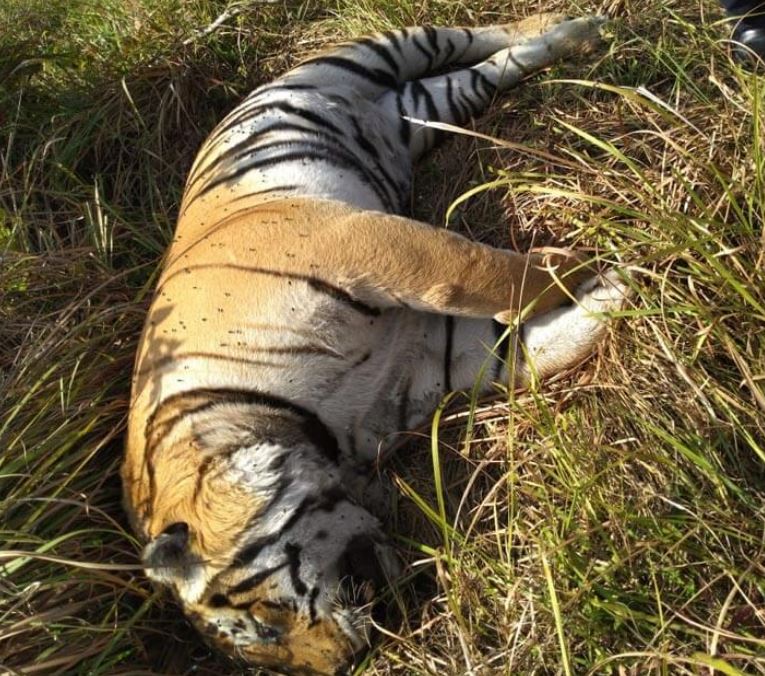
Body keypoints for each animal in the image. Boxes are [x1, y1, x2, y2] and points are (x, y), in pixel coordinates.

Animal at [124, 10, 628, 676]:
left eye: (264, 620)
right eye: (271, 661)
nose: (345, 664)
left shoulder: (362, 243)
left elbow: (489, 272)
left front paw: (582, 262)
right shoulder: (428, 359)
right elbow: (531, 347)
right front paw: (616, 291)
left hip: (365, 58)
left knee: (479, 37)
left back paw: (578, 28)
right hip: (423, 108)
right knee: (481, 73)